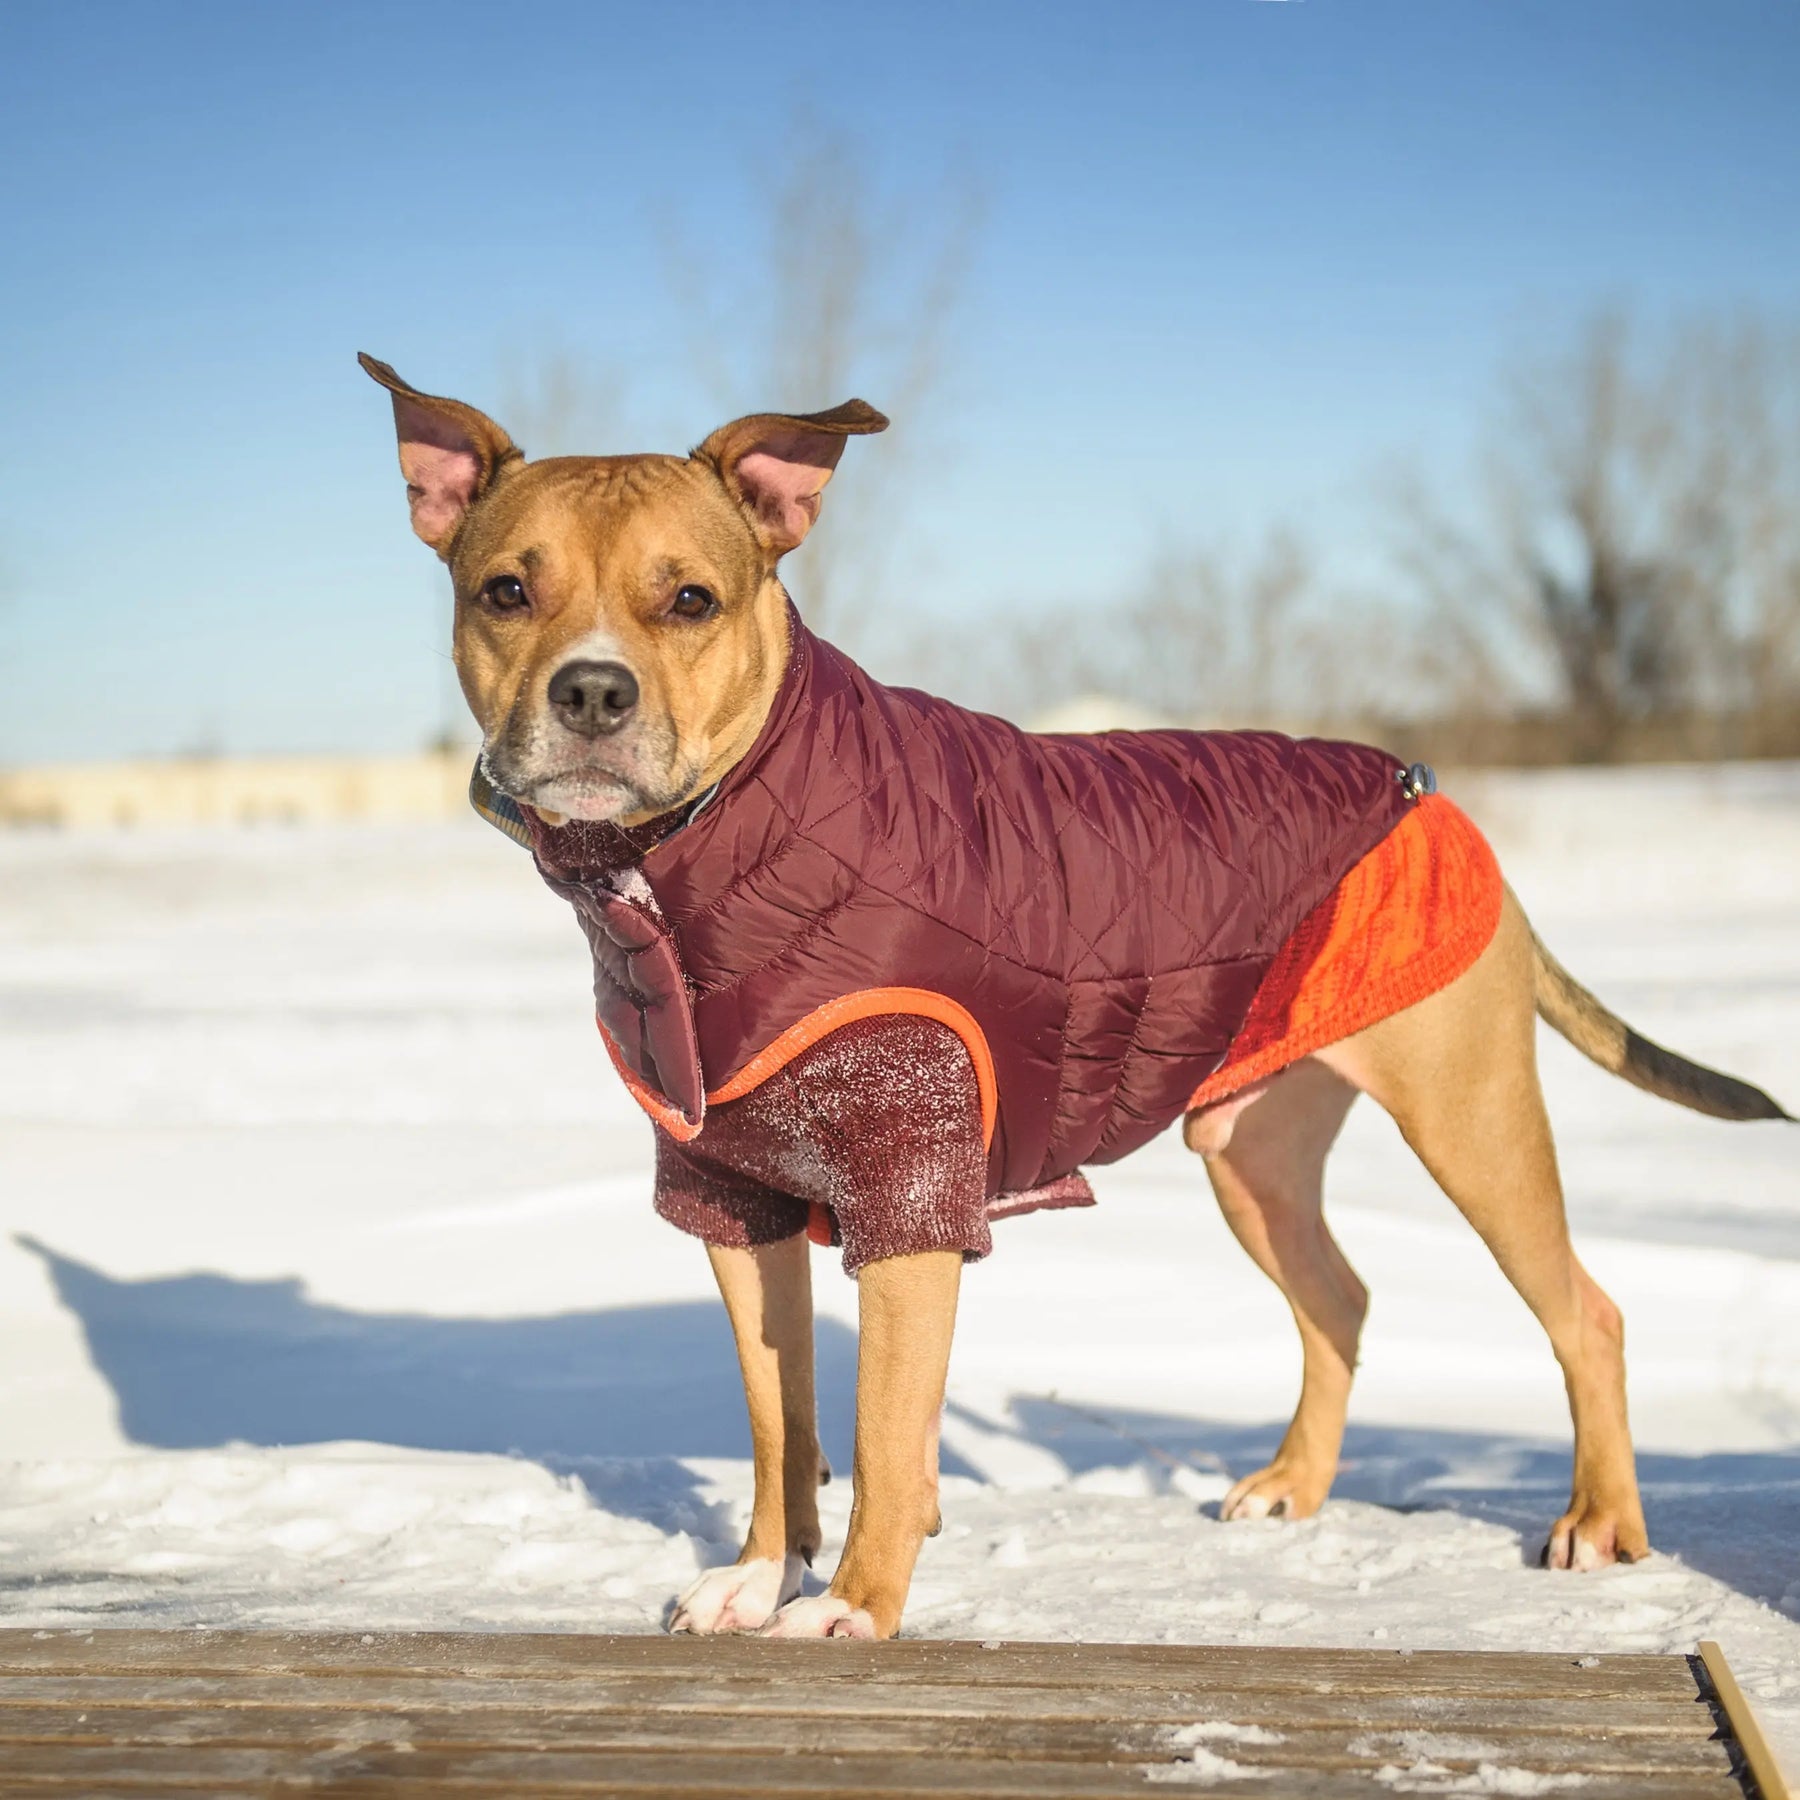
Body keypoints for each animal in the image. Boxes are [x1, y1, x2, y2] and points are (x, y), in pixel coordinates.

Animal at [361, 358, 1785, 1641]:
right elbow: (780, 1425)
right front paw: (761, 1579)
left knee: (1585, 1312)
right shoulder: (730, 1194)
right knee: (1339, 1300)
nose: (591, 690)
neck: (710, 848)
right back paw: (1294, 1489)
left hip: (1470, 1118)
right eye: (506, 591)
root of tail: (1432, 796)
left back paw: (1599, 1522)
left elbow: (881, 1433)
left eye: (691, 600)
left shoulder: (911, 1191)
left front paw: (857, 1605)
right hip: (1253, 1150)